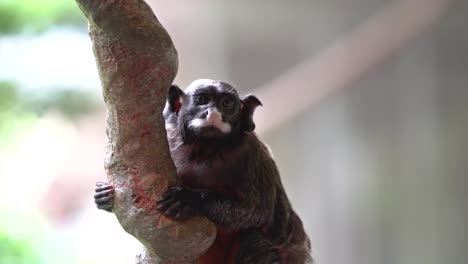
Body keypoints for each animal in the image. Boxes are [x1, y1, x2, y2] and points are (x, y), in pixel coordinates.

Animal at [93, 79, 312, 264]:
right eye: (202, 100)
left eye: (227, 104)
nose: (212, 113)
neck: (205, 149)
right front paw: (104, 196)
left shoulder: (252, 154)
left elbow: (259, 210)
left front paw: (191, 200)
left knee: (254, 241)